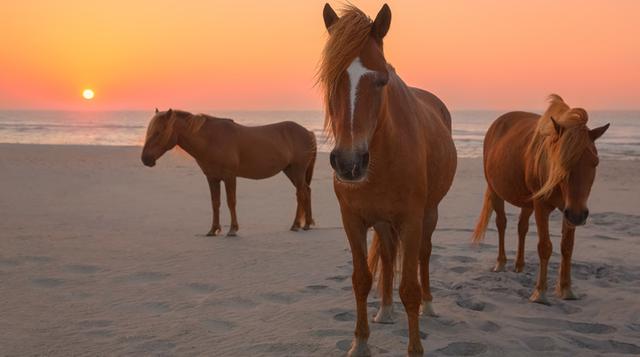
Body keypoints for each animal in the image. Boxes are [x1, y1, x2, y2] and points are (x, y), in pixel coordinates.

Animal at [142, 108, 318, 236]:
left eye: (158, 132)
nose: (145, 159)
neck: (212, 139)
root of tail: (308, 132)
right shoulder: (212, 178)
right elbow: (215, 203)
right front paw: (213, 230)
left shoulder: (229, 176)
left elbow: (231, 201)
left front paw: (233, 229)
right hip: (290, 171)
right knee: (307, 191)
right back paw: (307, 224)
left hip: (298, 170)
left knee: (301, 194)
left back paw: (296, 225)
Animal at [320, 3, 456, 356]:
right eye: (330, 78)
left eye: (382, 80)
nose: (349, 163)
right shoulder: (352, 220)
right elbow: (361, 279)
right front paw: (360, 343)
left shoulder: (411, 220)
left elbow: (409, 287)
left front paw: (415, 348)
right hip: (382, 222)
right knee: (386, 253)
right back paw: (384, 310)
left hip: (429, 214)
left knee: (424, 254)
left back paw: (429, 305)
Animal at [472, 94, 612, 304]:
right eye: (562, 162)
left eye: (595, 162)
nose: (579, 215)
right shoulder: (542, 206)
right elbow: (545, 247)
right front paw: (540, 293)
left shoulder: (568, 209)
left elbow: (567, 247)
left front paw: (566, 290)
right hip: (496, 191)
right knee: (501, 223)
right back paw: (501, 263)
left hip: (528, 202)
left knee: (522, 227)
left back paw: (520, 265)